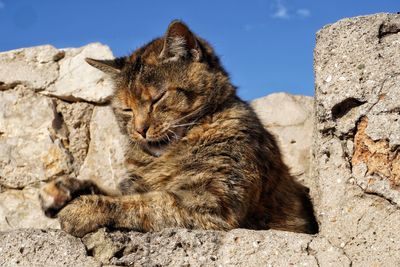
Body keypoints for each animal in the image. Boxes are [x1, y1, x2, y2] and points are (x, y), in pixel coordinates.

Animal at [39, 21, 318, 239]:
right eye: (127, 109)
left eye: (157, 98)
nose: (140, 129)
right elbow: (118, 191)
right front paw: (62, 190)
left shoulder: (212, 203)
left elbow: (147, 203)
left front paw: (82, 208)